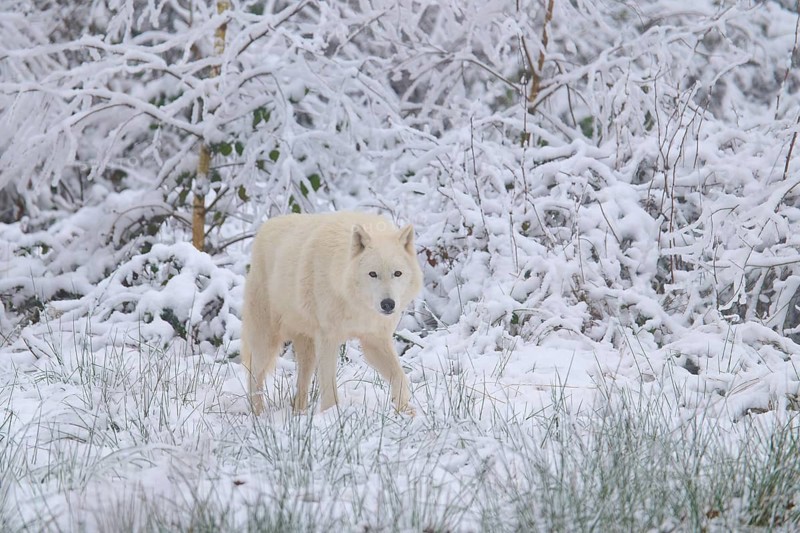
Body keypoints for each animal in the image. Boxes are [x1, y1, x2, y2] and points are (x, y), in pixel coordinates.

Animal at [240, 212, 423, 414]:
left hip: (307, 350)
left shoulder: (374, 341)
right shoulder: (328, 339)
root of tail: (265, 227)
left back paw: (299, 413)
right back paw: (258, 414)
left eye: (397, 273)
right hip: (265, 341)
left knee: (301, 383)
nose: (388, 304)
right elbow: (329, 387)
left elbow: (400, 376)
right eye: (372, 274)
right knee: (254, 375)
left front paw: (405, 412)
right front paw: (331, 415)